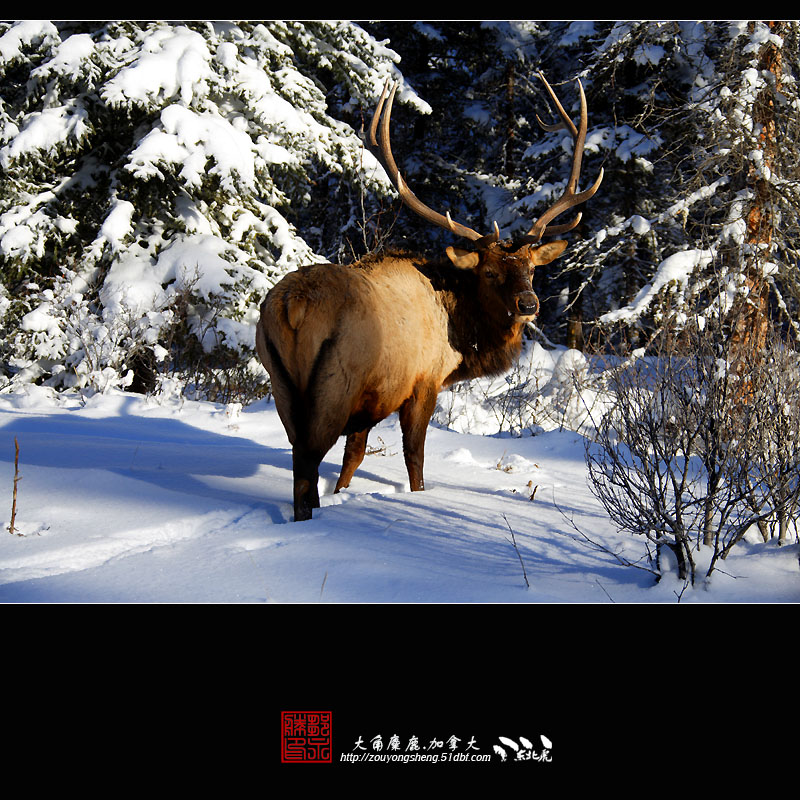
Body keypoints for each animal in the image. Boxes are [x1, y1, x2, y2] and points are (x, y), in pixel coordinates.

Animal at [256, 72, 600, 520]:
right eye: (489, 272)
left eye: (531, 269)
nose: (528, 304)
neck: (462, 335)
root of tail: (292, 307)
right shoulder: (422, 382)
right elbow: (413, 458)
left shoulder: (372, 399)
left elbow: (354, 457)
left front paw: (342, 492)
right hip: (334, 381)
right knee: (306, 463)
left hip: (280, 379)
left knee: (302, 453)